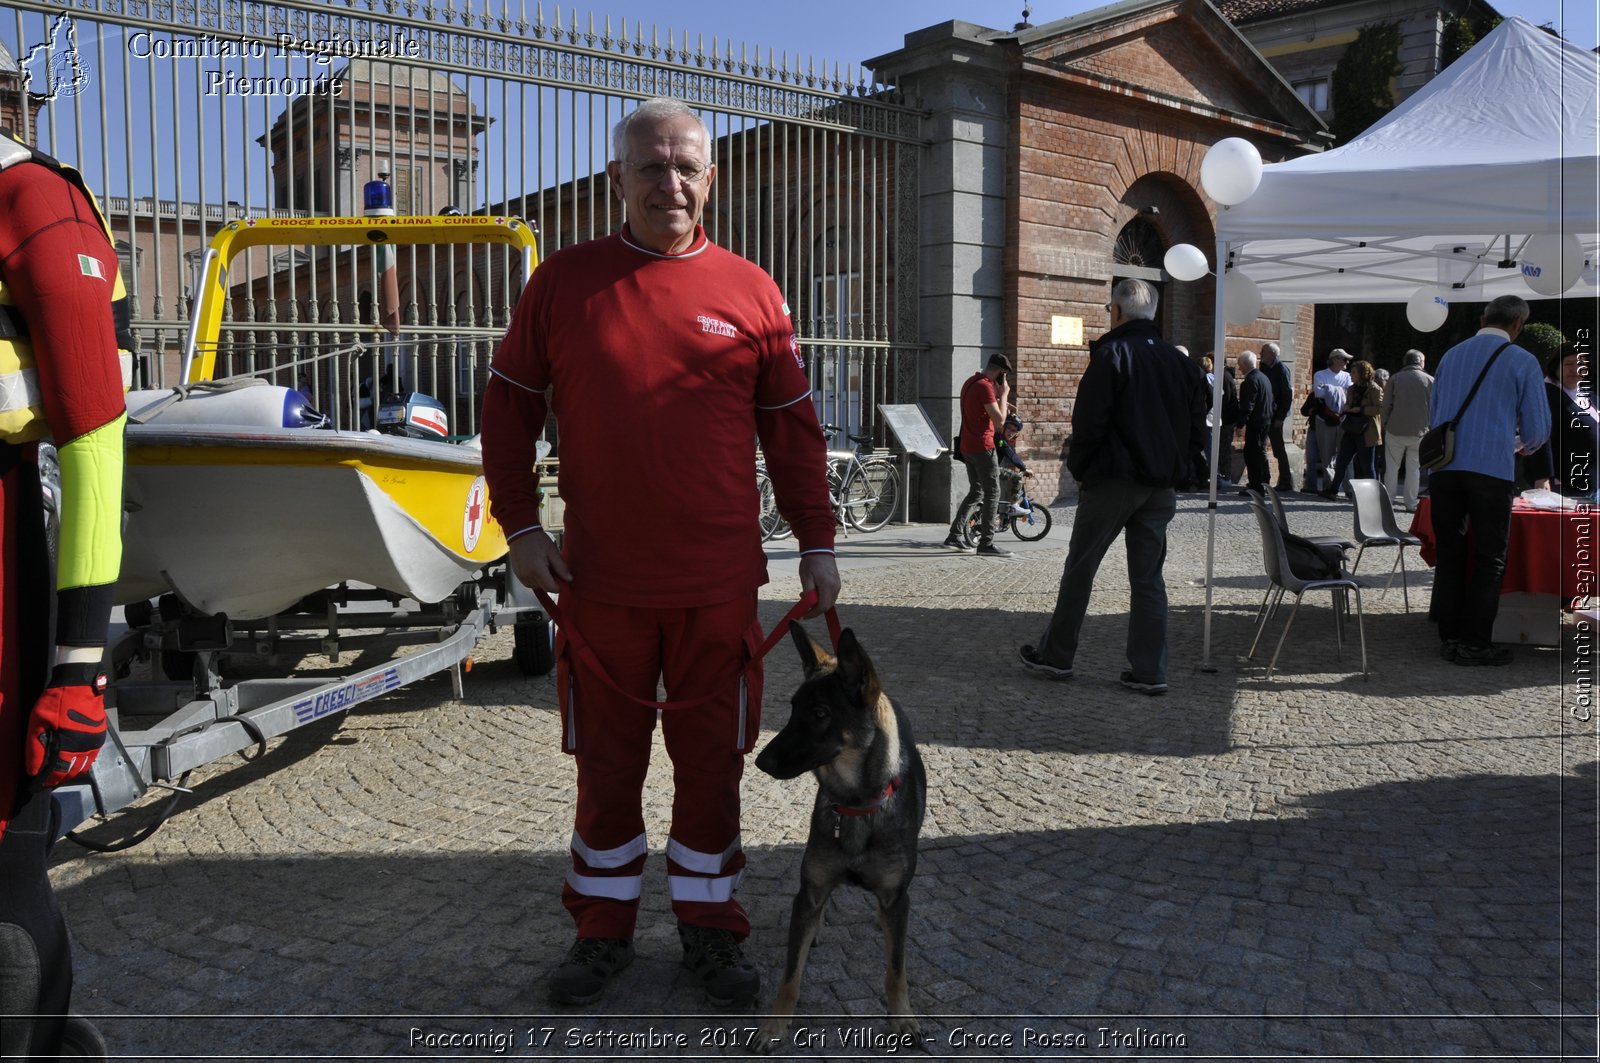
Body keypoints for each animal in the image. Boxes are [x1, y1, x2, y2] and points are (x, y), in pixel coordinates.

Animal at [755, 627, 934, 1050]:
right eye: (792, 708)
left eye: (820, 713)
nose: (760, 761)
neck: (854, 807)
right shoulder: (810, 890)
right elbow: (790, 974)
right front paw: (774, 1026)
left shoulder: (897, 897)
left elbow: (896, 969)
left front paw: (903, 1017)